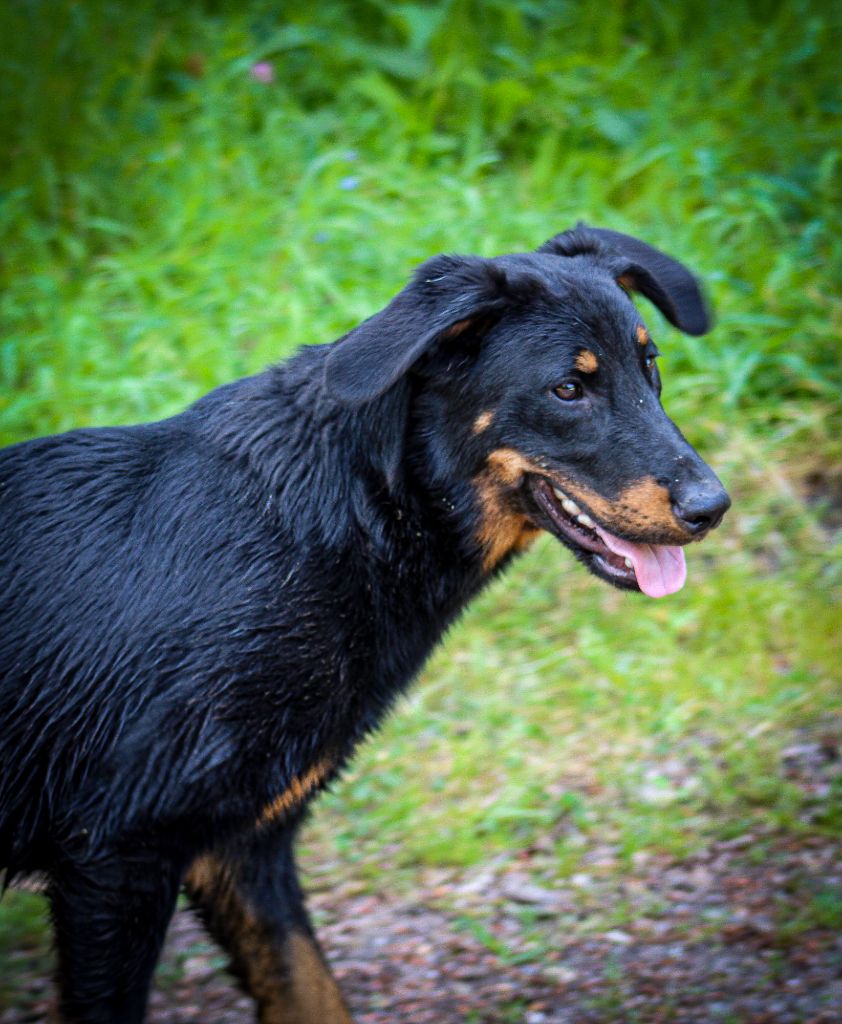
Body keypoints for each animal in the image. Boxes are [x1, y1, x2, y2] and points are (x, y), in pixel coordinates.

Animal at [0, 226, 729, 1024]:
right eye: (568, 389)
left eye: (650, 366)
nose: (713, 506)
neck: (355, 516)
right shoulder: (119, 856)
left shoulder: (244, 849)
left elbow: (311, 991)